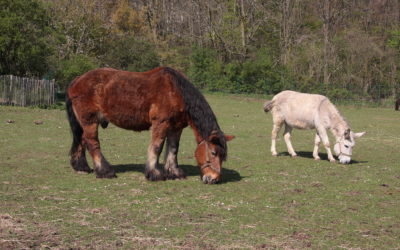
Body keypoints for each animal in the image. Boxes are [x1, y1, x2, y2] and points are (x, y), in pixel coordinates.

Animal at [66, 66, 234, 184]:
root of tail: (77, 80)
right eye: (213, 153)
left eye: (223, 156)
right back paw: (104, 171)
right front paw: (154, 173)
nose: (213, 178)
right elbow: (157, 147)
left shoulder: (176, 127)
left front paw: (174, 172)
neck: (176, 91)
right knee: (92, 144)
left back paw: (82, 168)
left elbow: (173, 149)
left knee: (82, 141)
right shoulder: (161, 123)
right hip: (90, 122)